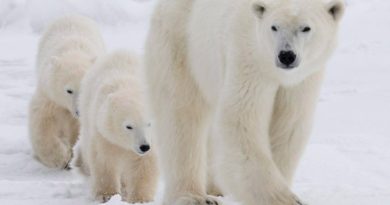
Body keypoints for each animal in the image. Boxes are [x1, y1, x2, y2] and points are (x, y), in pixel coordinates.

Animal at [29, 15, 105, 169]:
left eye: (84, 88)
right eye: (69, 90)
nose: (78, 112)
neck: (73, 52)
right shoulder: (49, 93)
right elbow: (42, 120)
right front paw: (61, 157)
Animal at [74, 50, 157, 203]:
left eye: (149, 123)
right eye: (129, 126)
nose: (144, 146)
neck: (130, 86)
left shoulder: (153, 139)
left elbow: (144, 164)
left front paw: (140, 199)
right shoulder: (103, 133)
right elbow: (105, 160)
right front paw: (107, 195)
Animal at [144, 0, 344, 204]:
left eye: (306, 28)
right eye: (274, 27)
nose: (286, 55)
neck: (274, 71)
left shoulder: (302, 80)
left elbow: (289, 124)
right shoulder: (248, 58)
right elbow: (241, 120)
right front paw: (284, 199)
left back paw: (215, 188)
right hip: (183, 43)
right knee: (182, 115)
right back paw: (194, 196)